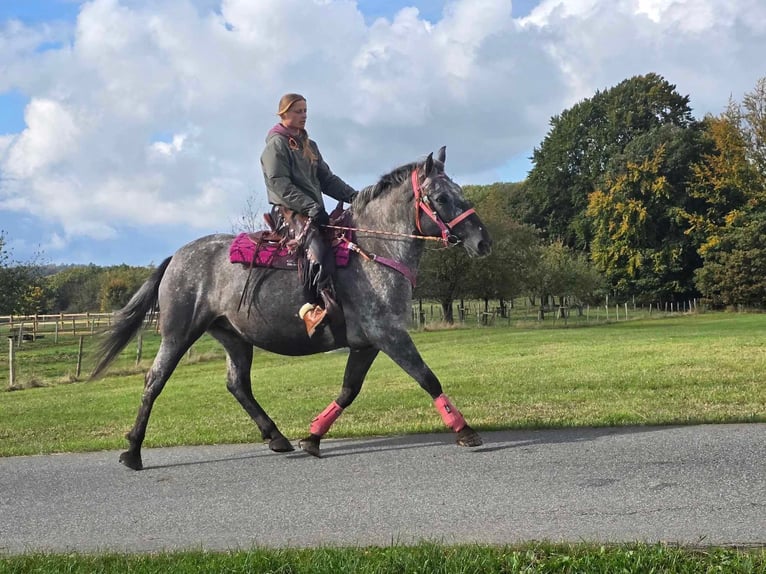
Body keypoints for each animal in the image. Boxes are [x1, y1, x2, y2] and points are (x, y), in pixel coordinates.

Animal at [91, 146, 492, 470]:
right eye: (441, 197)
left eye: (458, 192)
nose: (483, 242)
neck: (375, 249)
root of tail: (177, 256)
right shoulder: (389, 335)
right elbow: (427, 377)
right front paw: (464, 430)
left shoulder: (367, 343)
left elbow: (349, 390)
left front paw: (312, 436)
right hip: (178, 334)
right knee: (154, 380)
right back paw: (133, 452)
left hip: (235, 337)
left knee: (237, 385)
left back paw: (276, 436)